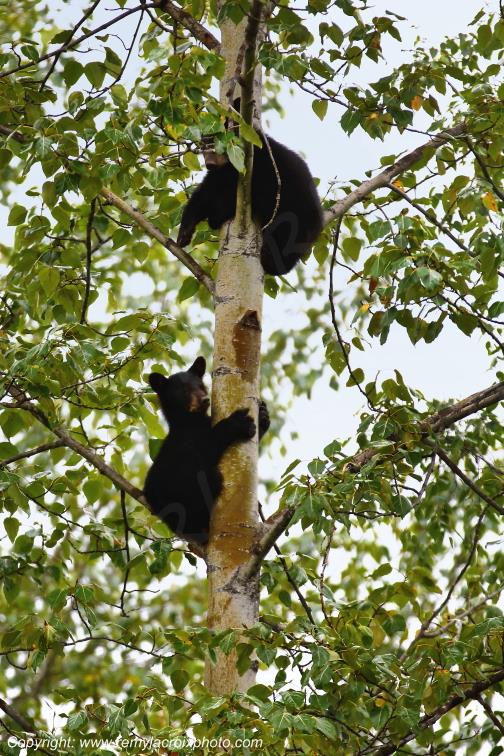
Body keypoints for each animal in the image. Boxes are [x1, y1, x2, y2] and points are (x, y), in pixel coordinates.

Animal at [144, 356, 270, 544]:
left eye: (200, 386)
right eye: (184, 391)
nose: (204, 399)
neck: (190, 421)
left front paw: (262, 416)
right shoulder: (186, 444)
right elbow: (207, 447)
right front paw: (236, 422)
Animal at [176, 128, 324, 276]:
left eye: (216, 144)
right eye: (203, 146)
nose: (210, 163)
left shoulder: (256, 170)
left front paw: (217, 216)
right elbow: (205, 194)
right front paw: (184, 233)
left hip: (294, 215)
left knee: (285, 239)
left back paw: (270, 259)